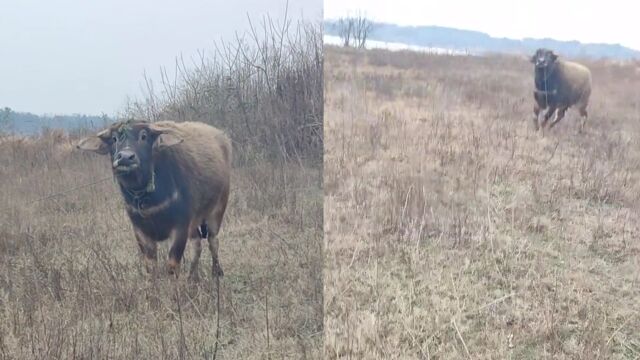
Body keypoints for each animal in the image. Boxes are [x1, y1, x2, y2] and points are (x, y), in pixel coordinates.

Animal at [77, 119, 231, 280]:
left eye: (144, 136)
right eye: (114, 139)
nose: (125, 157)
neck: (149, 200)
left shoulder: (180, 227)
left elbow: (172, 265)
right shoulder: (141, 230)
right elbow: (151, 267)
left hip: (218, 209)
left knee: (213, 241)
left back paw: (217, 272)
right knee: (197, 244)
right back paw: (192, 277)